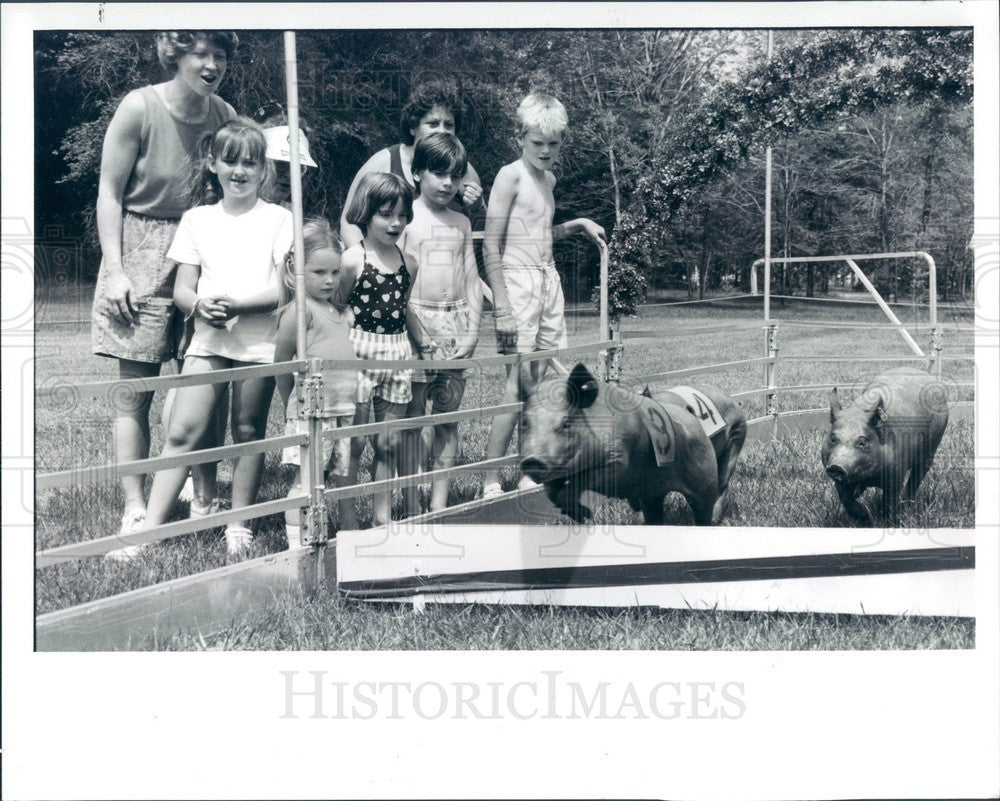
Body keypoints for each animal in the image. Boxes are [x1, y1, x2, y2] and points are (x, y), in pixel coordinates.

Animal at [520, 362, 748, 524]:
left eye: (566, 423)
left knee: (717, 490)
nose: (531, 461)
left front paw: (587, 515)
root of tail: (732, 400)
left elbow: (581, 480)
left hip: (726, 451)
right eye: (524, 423)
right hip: (653, 491)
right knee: (654, 514)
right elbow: (551, 492)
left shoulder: (618, 458)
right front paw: (585, 516)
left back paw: (714, 520)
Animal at [824, 366, 948, 520]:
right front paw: (866, 517)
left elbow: (890, 501)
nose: (836, 466)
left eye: (862, 442)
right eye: (833, 438)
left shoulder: (897, 471)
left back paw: (906, 508)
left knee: (916, 478)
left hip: (933, 444)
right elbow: (846, 500)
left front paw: (884, 519)